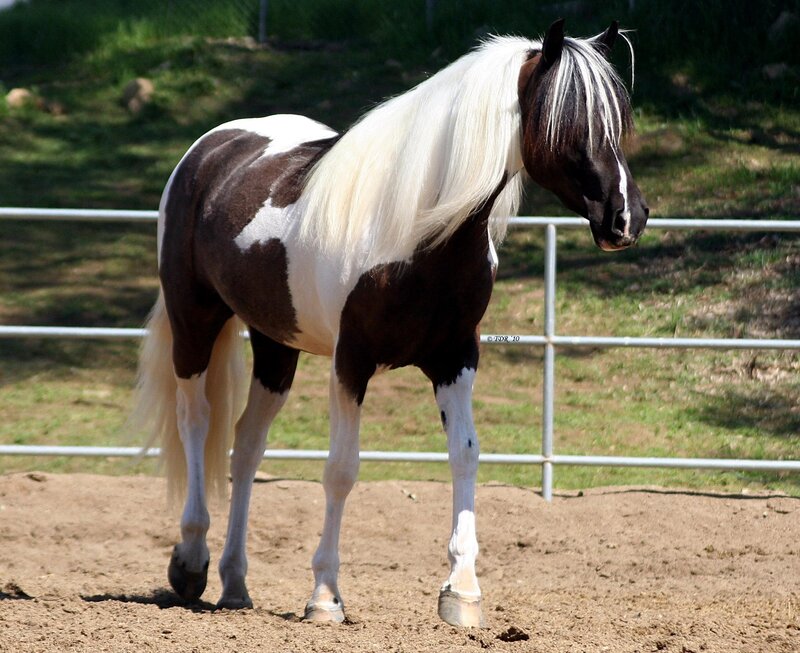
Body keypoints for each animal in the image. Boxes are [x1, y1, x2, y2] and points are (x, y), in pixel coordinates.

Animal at [133, 18, 649, 628]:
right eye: (566, 120)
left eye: (619, 120)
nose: (626, 217)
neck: (418, 233)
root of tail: (210, 147)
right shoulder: (350, 362)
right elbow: (341, 469)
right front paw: (325, 596)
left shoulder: (455, 357)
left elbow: (466, 454)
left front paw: (462, 593)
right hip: (195, 320)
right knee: (196, 421)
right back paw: (191, 562)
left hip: (275, 344)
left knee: (246, 444)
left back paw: (235, 584)